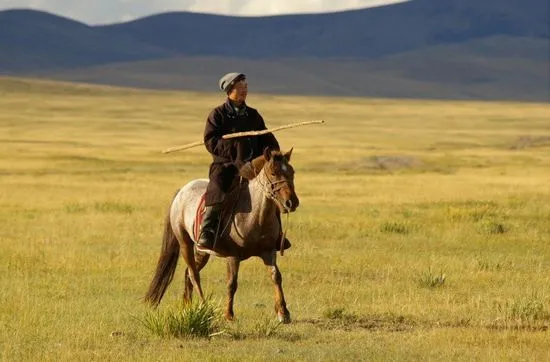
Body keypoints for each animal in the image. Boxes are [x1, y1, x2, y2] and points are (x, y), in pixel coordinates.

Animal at [144, 147, 300, 322]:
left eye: (292, 172)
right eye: (273, 173)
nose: (292, 202)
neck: (256, 216)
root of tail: (181, 191)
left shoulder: (268, 251)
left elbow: (276, 276)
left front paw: (283, 313)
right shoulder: (233, 256)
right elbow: (232, 283)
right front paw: (229, 314)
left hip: (202, 251)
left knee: (188, 273)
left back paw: (187, 307)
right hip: (184, 243)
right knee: (193, 274)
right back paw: (204, 306)